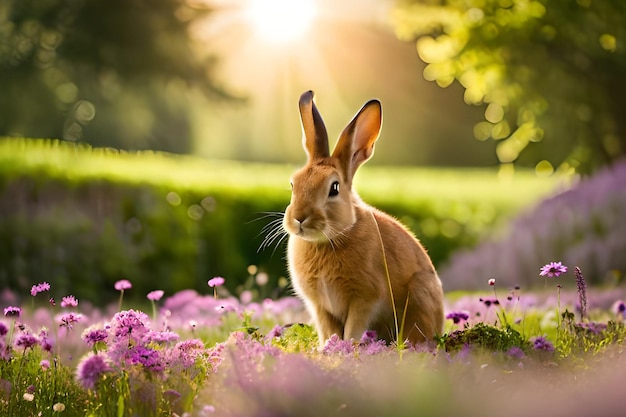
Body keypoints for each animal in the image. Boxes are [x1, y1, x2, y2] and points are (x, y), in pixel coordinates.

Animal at [282, 91, 444, 348]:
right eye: (293, 184)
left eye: (334, 188)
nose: (299, 218)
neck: (327, 240)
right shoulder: (320, 307)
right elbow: (329, 331)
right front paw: (329, 348)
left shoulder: (365, 299)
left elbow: (353, 329)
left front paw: (347, 349)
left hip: (420, 295)